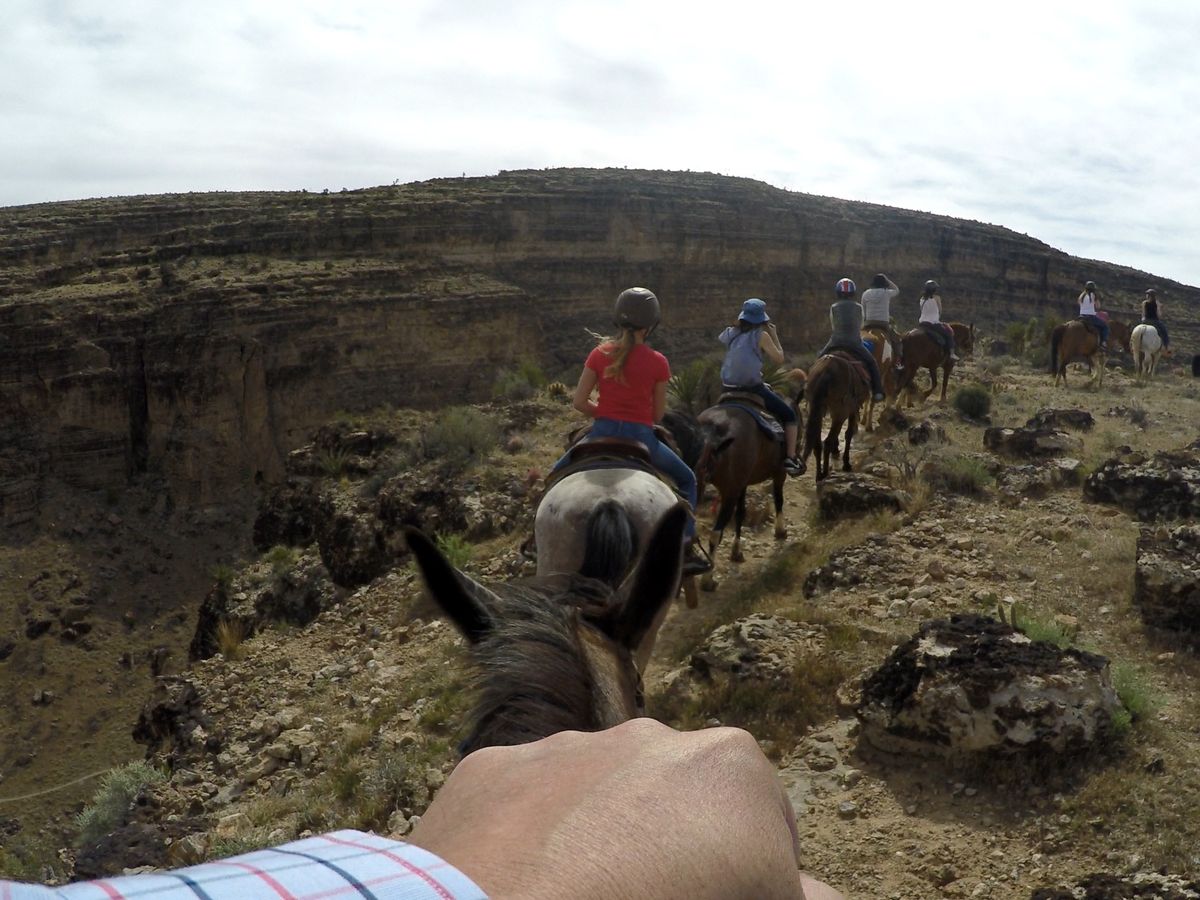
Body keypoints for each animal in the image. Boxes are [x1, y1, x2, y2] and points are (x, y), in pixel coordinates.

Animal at [693, 374, 805, 585]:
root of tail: (710, 434)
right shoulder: (778, 473)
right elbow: (779, 499)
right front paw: (780, 531)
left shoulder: (741, 483)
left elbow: (741, 513)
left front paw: (736, 552)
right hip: (727, 492)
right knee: (715, 533)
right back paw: (708, 580)